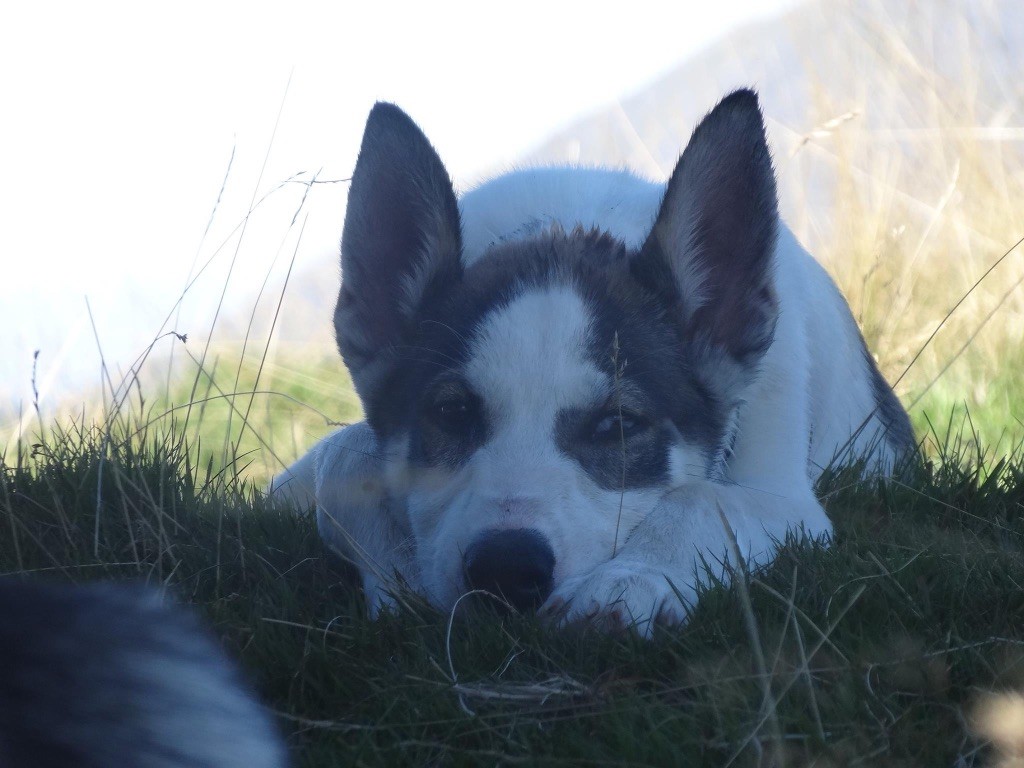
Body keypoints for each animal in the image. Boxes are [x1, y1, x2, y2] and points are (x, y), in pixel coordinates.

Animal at [270, 88, 913, 638]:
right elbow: (347, 460)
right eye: (451, 414)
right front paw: (401, 571)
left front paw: (632, 580)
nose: (506, 571)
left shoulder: (789, 504)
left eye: (618, 426)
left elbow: (700, 498)